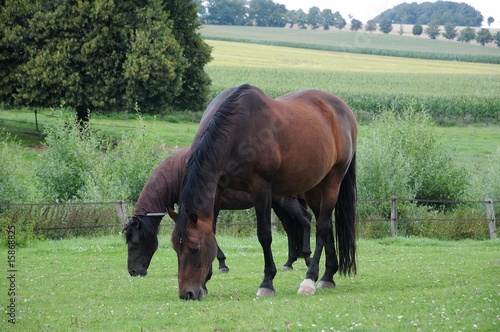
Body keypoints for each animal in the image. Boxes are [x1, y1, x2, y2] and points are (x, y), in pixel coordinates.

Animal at [122, 148, 308, 278]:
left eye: (136, 242)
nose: (133, 271)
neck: (178, 173)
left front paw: (221, 264)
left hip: (286, 201)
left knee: (305, 220)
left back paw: (307, 258)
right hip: (277, 204)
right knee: (290, 228)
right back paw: (289, 262)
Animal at [173, 83, 360, 300]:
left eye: (195, 249)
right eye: (175, 247)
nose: (187, 293)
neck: (238, 130)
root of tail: (343, 109)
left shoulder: (260, 188)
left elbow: (264, 235)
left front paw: (267, 282)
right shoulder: (218, 188)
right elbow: (212, 229)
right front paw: (205, 281)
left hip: (333, 180)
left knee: (321, 227)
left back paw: (309, 280)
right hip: (314, 188)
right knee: (327, 225)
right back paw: (328, 275)